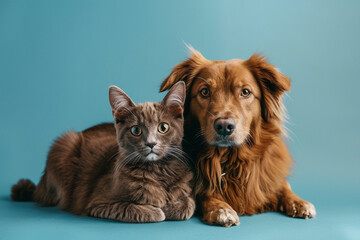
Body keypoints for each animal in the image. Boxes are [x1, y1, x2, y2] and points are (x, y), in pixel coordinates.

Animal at [10, 81, 194, 223]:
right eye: (136, 130)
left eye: (163, 127)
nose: (151, 143)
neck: (157, 171)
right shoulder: (98, 203)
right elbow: (130, 208)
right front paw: (157, 210)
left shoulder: (187, 192)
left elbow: (188, 204)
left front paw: (170, 206)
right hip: (64, 145)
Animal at [160, 48, 316, 227]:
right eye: (204, 91)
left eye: (245, 92)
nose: (224, 126)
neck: (230, 158)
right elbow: (204, 194)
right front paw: (221, 209)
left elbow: (283, 185)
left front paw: (298, 201)